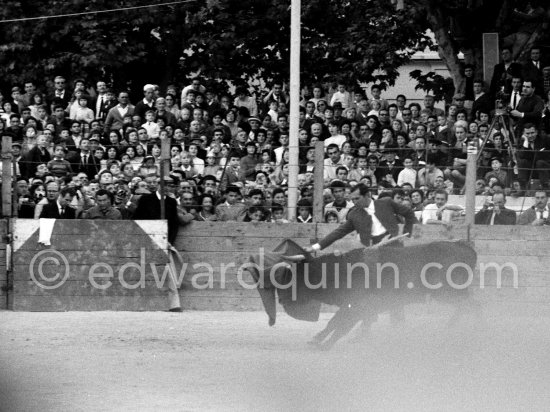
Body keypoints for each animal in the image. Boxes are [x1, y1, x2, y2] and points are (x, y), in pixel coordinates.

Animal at [248, 238, 480, 348]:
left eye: (294, 278)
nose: (282, 300)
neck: (342, 269)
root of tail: (465, 247)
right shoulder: (350, 304)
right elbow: (334, 322)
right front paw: (317, 339)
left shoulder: (359, 305)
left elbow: (342, 325)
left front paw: (324, 345)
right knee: (469, 306)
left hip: (448, 293)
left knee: (471, 306)